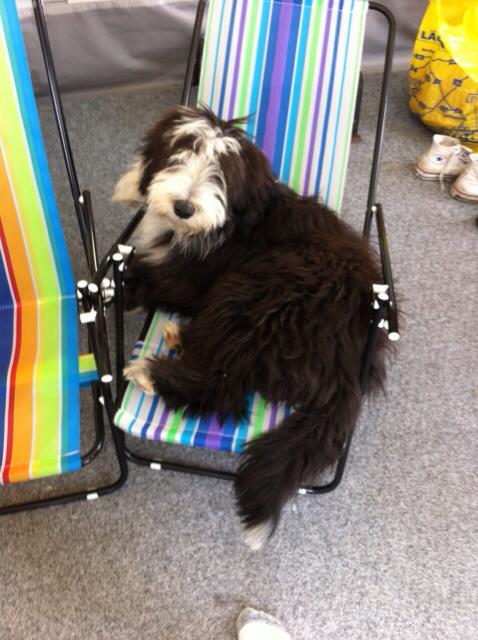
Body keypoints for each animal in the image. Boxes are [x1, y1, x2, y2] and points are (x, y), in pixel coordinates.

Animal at [113, 105, 390, 550]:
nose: (183, 207)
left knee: (224, 391)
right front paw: (132, 183)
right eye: (181, 152)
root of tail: (350, 371)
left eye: (221, 173)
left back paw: (152, 372)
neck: (224, 225)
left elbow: (150, 277)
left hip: (256, 294)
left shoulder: (193, 274)